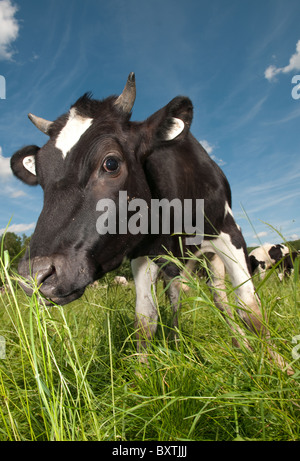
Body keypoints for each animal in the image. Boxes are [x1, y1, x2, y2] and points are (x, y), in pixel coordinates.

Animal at [10, 73, 292, 372]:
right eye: (41, 176)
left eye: (111, 163)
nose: (35, 275)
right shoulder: (142, 254)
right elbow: (145, 319)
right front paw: (144, 372)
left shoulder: (229, 232)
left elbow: (250, 307)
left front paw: (279, 365)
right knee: (177, 294)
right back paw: (178, 341)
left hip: (210, 259)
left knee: (220, 297)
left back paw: (240, 343)